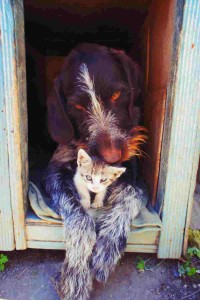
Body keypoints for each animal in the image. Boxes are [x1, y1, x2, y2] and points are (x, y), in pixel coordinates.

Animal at [44, 42, 145, 300]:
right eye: (77, 106)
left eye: (117, 95)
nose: (111, 157)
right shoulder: (54, 172)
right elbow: (80, 218)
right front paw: (76, 273)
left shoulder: (132, 170)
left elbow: (131, 197)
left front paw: (108, 247)